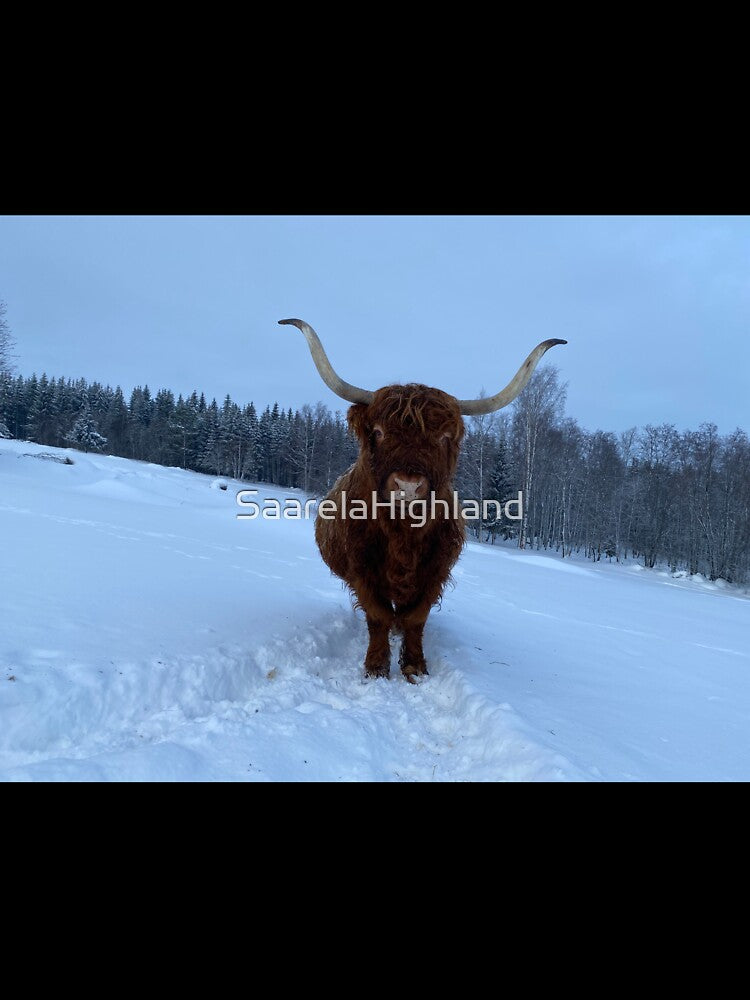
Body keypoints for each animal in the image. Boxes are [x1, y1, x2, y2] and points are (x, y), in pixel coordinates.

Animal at [279, 318, 566, 681]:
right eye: (378, 432)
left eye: (443, 438)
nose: (408, 484)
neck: (403, 533)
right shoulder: (362, 569)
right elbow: (377, 615)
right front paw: (376, 666)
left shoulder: (435, 571)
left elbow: (416, 617)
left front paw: (414, 665)